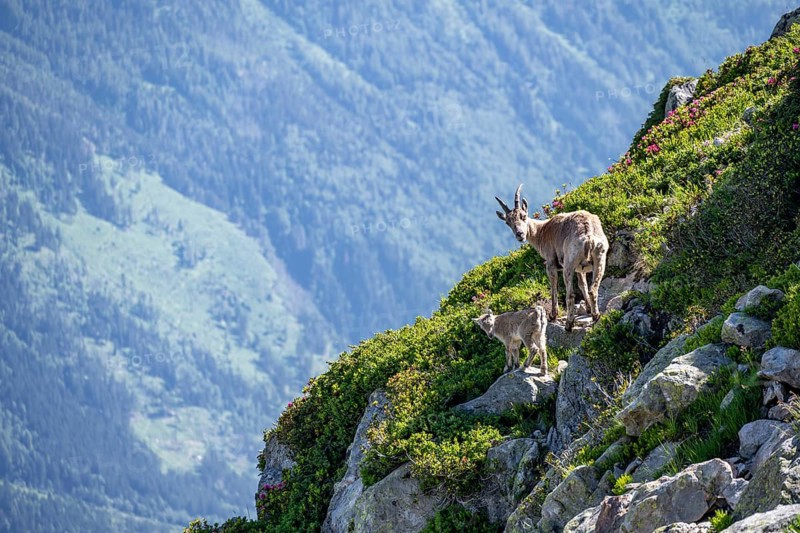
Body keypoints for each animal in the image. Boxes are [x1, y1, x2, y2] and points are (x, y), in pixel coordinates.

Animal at [495, 184, 608, 331]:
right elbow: (582, 284)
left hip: (569, 263)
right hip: (600, 258)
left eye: (523, 216)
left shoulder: (550, 263)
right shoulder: (581, 268)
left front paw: (553, 315)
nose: (520, 234)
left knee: (570, 294)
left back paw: (569, 324)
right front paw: (588, 309)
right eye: (508, 222)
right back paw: (595, 316)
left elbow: (553, 287)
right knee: (593, 289)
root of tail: (588, 235)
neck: (541, 231)